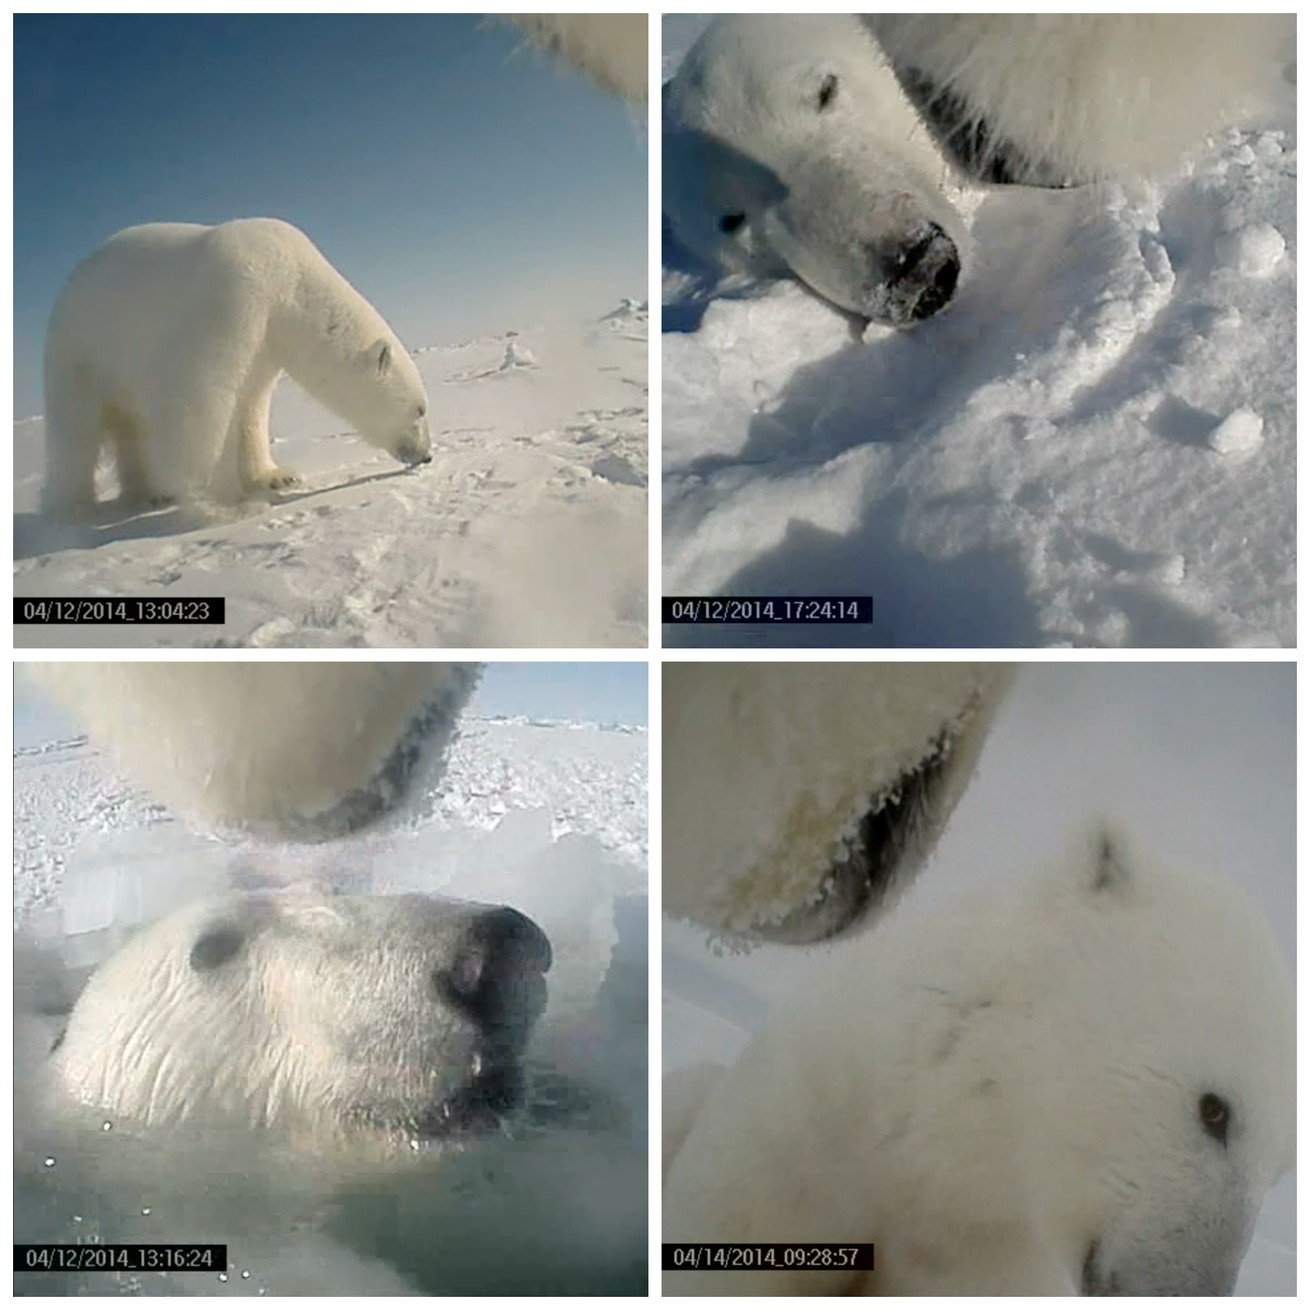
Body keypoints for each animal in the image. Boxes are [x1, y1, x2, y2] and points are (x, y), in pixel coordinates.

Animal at [44, 217, 434, 508]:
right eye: (420, 409)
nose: (427, 456)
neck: (292, 281)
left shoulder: (268, 341)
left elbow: (252, 406)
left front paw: (278, 476)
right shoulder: (236, 297)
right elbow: (199, 394)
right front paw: (220, 501)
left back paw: (148, 491)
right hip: (80, 344)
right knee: (76, 429)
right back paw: (74, 508)